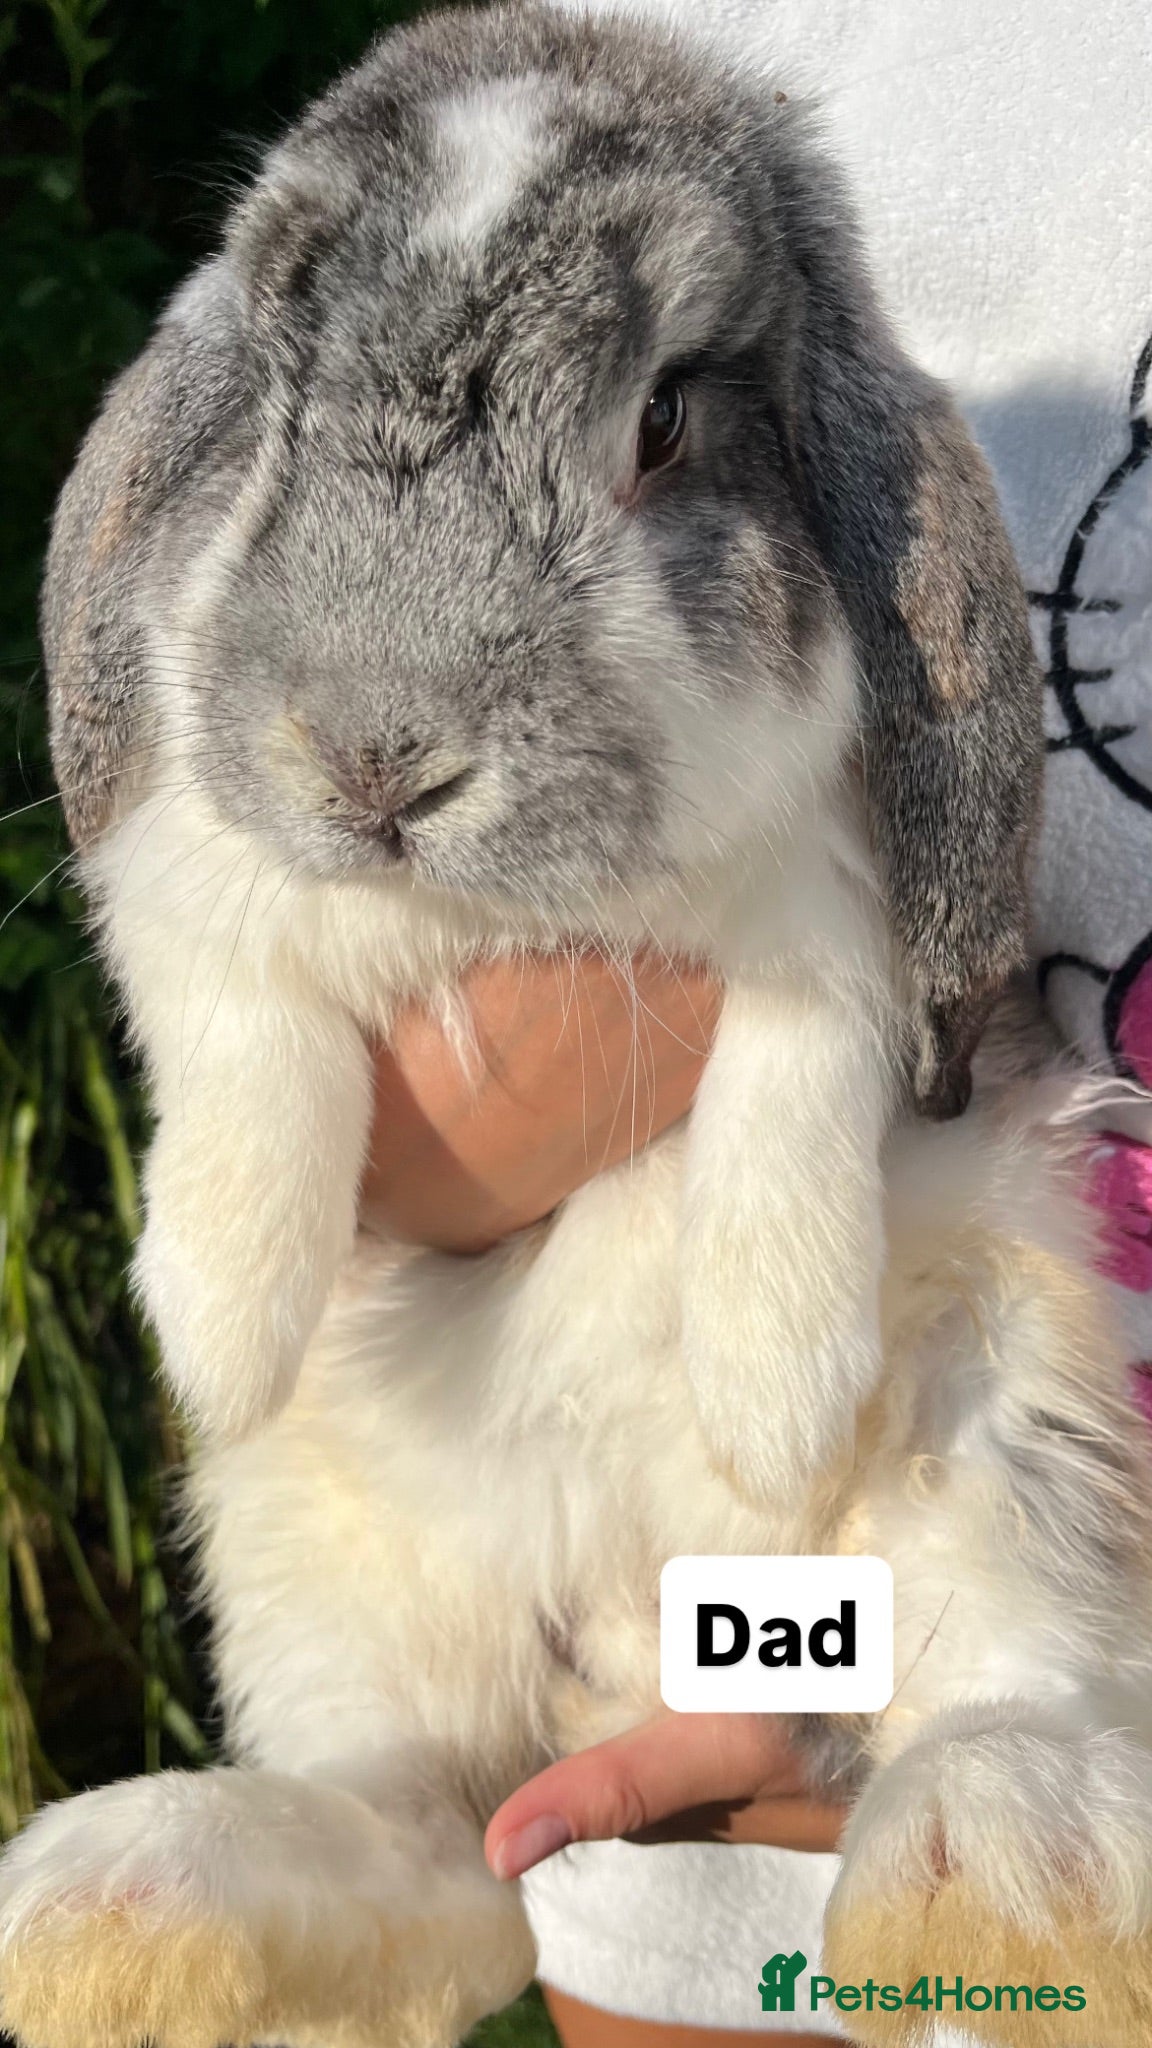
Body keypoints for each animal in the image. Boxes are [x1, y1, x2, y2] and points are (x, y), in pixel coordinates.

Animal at [7, 6, 1152, 2047]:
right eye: (276, 414)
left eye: (665, 421)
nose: (374, 760)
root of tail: (620, 1645)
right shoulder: (195, 888)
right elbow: (245, 1050)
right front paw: (220, 1314)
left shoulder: (833, 923)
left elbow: (798, 1076)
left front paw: (772, 1380)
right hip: (298, 1557)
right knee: (424, 1851)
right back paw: (125, 1900)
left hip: (1021, 1410)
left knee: (1003, 1686)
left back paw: (1008, 1873)